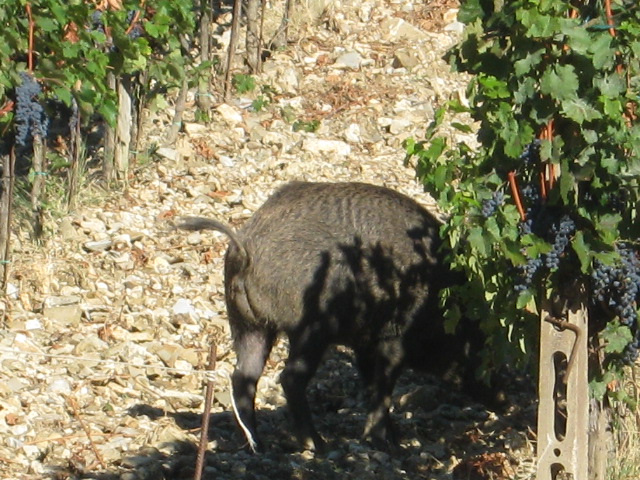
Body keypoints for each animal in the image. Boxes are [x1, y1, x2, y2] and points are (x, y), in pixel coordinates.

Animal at [178, 181, 487, 452]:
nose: (499, 398)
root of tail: (245, 246)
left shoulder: (365, 344)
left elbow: (371, 386)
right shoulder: (393, 341)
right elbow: (383, 388)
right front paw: (389, 444)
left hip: (248, 325)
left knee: (244, 377)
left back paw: (259, 447)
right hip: (311, 327)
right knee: (289, 377)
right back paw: (316, 445)